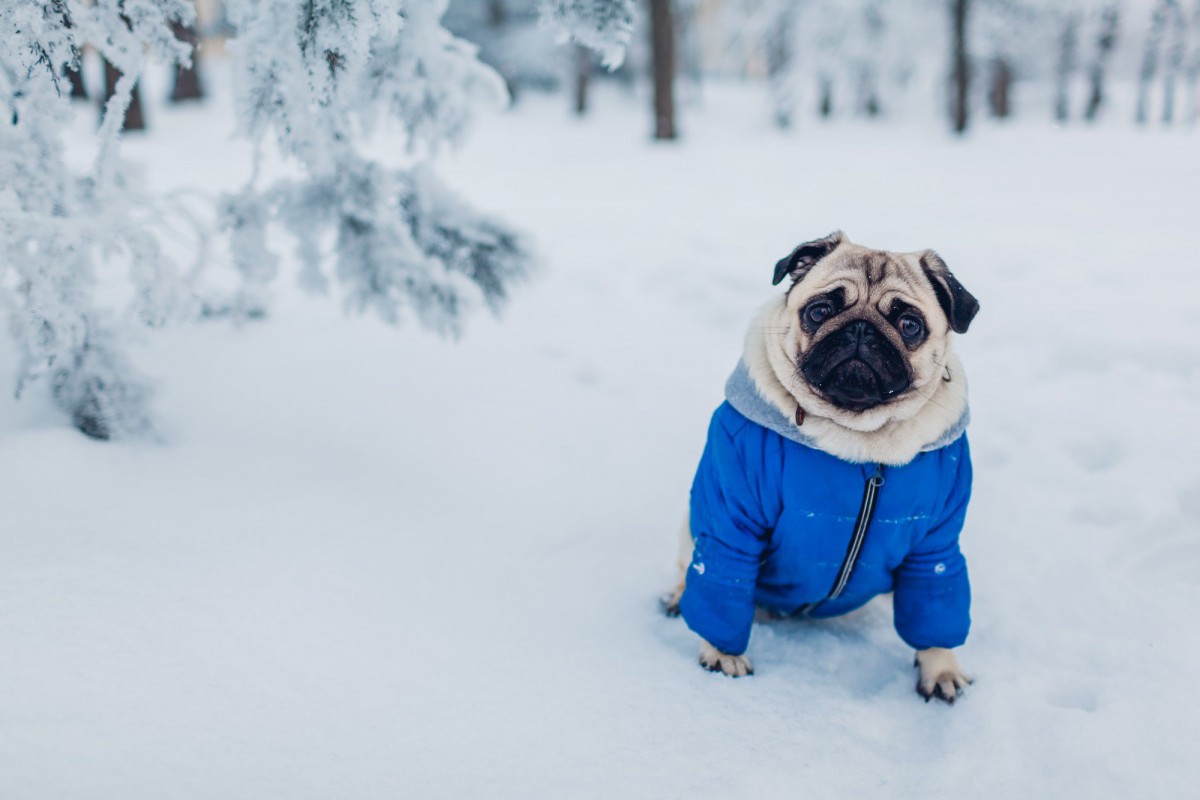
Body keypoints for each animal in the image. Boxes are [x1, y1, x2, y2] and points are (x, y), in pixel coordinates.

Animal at [667, 232, 984, 705]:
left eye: (910, 325)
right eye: (820, 311)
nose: (860, 329)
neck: (860, 436)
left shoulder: (935, 548)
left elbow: (936, 607)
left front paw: (941, 669)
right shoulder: (731, 523)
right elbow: (722, 578)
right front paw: (722, 655)